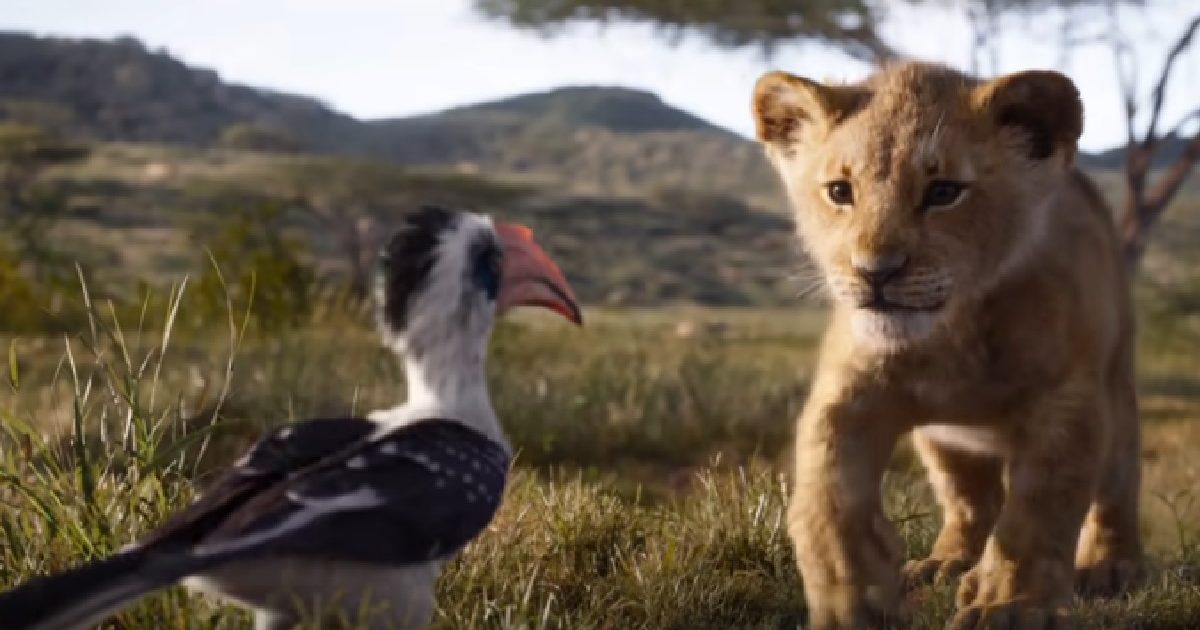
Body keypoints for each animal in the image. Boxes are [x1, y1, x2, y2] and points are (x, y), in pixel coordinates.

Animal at [751, 62, 1141, 629]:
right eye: (840, 191)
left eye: (944, 192)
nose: (875, 273)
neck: (954, 333)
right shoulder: (850, 391)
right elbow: (827, 497)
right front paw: (853, 599)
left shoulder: (1067, 401)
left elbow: (1038, 514)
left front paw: (1009, 607)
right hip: (944, 441)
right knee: (971, 502)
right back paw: (947, 563)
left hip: (1115, 390)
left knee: (1116, 487)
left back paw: (1110, 567)